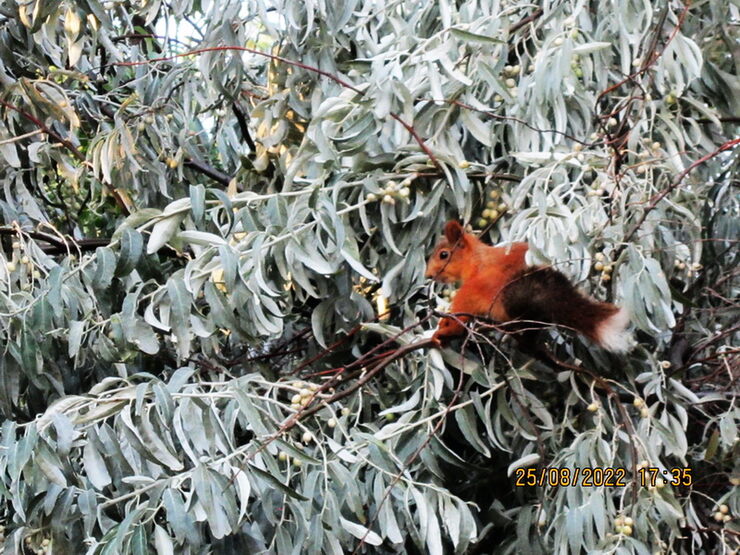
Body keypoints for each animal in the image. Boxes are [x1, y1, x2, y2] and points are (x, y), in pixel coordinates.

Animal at [428, 220, 632, 352]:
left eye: (444, 255)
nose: (428, 275)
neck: (475, 261)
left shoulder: (474, 289)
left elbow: (461, 312)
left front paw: (445, 328)